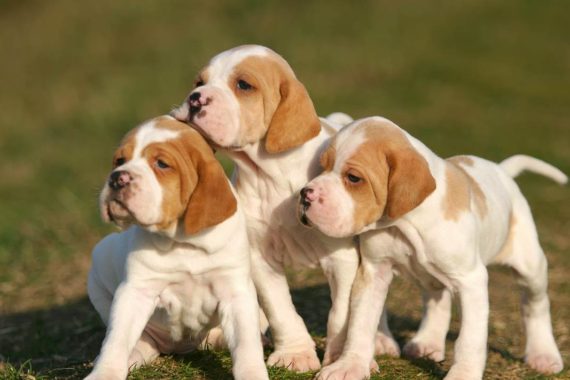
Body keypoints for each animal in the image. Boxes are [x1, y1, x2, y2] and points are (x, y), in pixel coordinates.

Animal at [85, 116, 268, 380]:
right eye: (119, 161)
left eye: (162, 164)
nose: (117, 178)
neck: (182, 242)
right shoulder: (135, 291)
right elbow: (116, 339)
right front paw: (105, 372)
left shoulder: (235, 292)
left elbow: (246, 344)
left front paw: (253, 373)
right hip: (99, 263)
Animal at [302, 116, 564, 380]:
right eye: (322, 167)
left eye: (354, 178)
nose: (305, 195)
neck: (404, 224)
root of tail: (502, 171)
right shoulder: (374, 272)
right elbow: (361, 324)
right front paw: (350, 365)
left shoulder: (471, 281)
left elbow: (469, 339)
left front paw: (463, 374)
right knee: (438, 300)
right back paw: (427, 343)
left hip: (530, 267)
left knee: (536, 306)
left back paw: (543, 355)